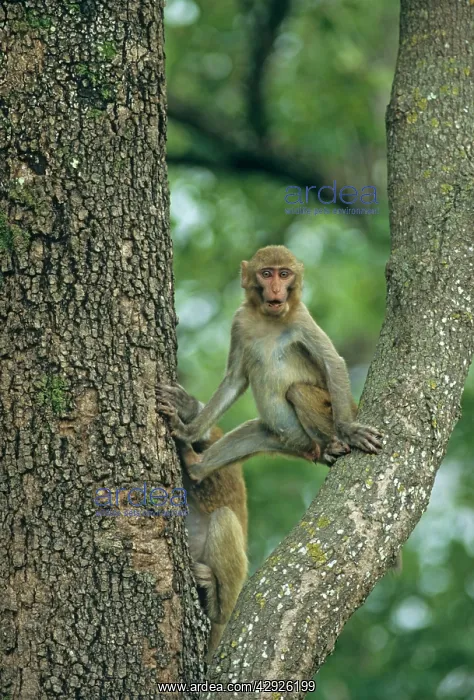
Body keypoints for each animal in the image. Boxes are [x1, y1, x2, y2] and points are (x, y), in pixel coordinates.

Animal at [158, 245, 383, 483]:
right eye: (266, 274)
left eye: (284, 274)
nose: (275, 289)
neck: (269, 318)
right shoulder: (240, 321)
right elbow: (234, 380)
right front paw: (188, 430)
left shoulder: (301, 318)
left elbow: (331, 362)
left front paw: (349, 430)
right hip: (285, 440)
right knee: (257, 431)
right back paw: (194, 465)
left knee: (297, 391)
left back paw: (336, 443)